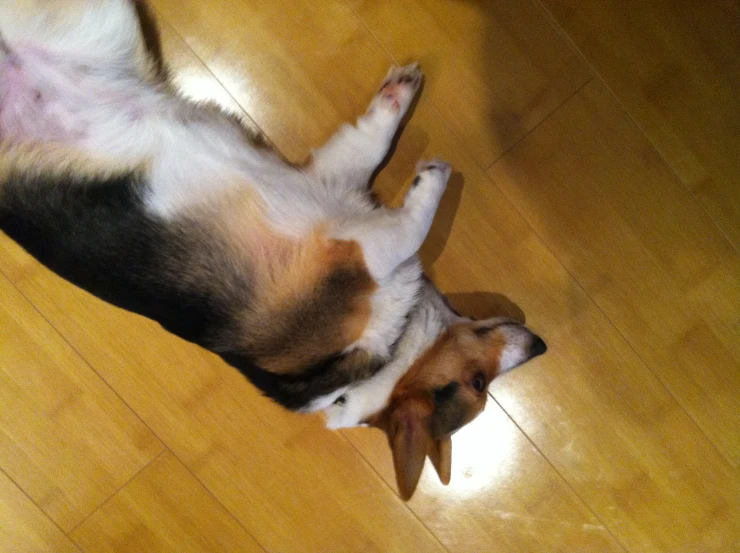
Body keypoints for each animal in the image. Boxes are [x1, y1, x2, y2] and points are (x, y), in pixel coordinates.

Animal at [0, 1, 544, 500]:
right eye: (479, 383)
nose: (540, 345)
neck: (394, 350)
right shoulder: (357, 252)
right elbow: (411, 224)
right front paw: (432, 178)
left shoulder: (331, 185)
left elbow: (368, 143)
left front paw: (396, 100)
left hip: (100, 24)